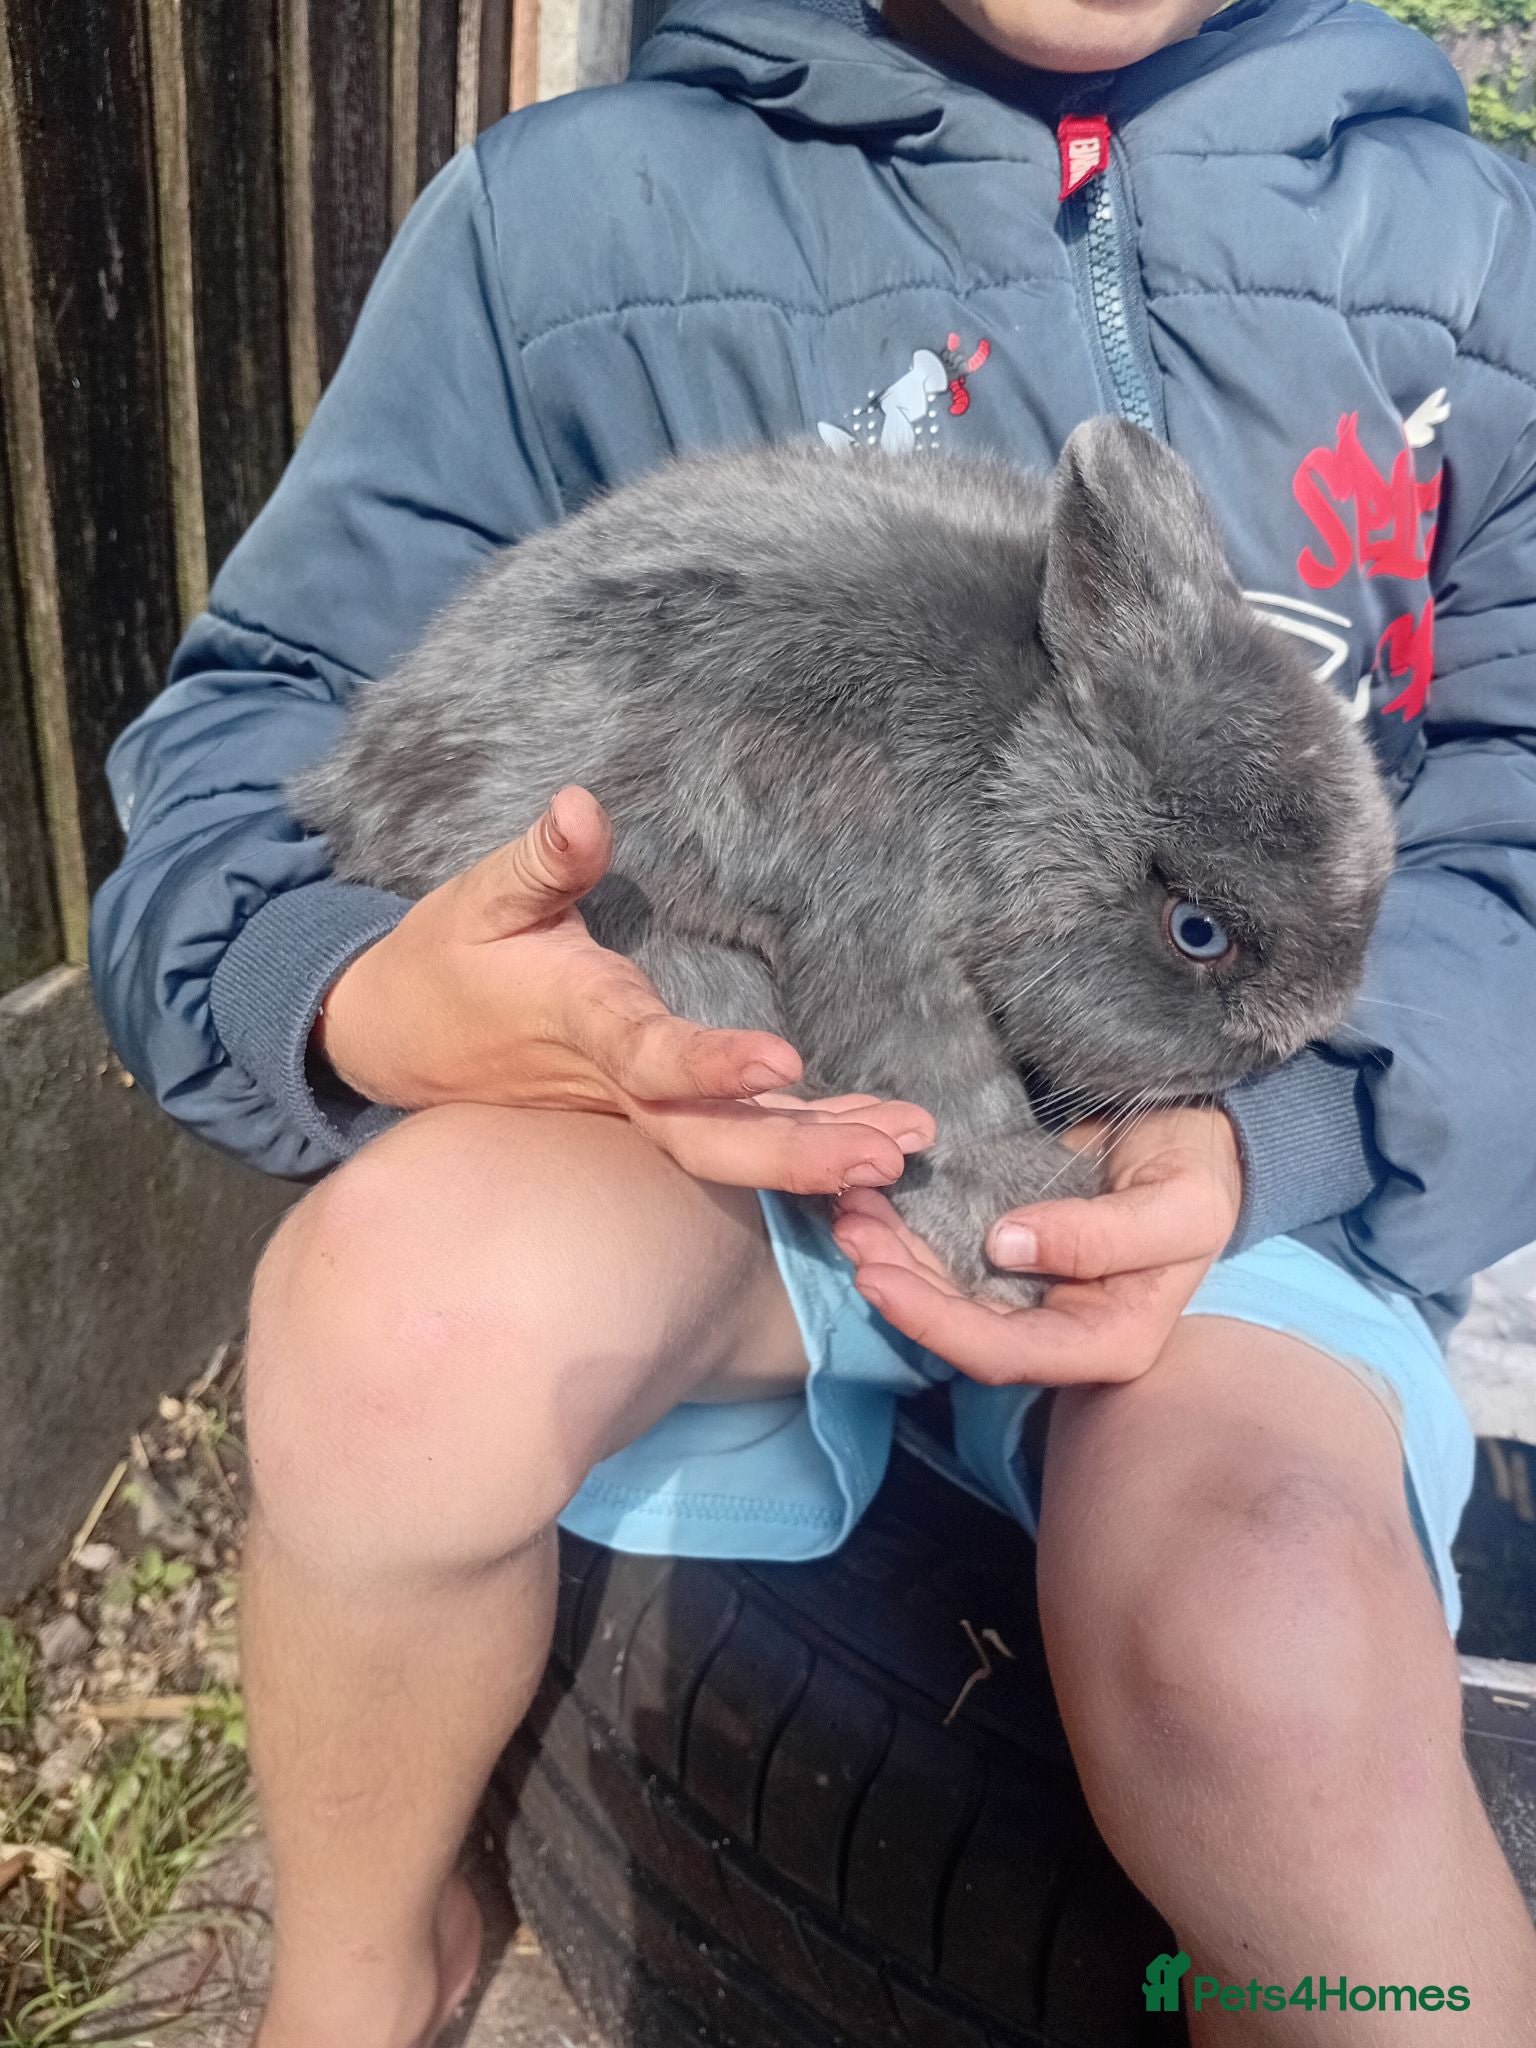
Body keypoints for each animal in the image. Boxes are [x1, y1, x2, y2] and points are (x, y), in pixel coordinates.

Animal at [292, 417, 1396, 1306]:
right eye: (1197, 932)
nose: (1292, 1037)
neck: (1008, 763)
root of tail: (345, 784)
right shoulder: (880, 916)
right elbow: (939, 1080)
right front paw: (1009, 1229)